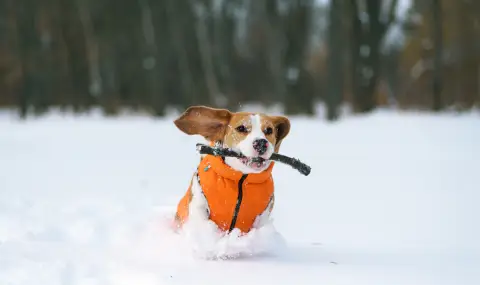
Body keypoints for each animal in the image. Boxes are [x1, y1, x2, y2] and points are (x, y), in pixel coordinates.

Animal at [173, 105, 290, 234]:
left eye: (269, 130)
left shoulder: (263, 215)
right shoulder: (198, 200)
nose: (261, 143)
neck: (241, 179)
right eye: (241, 128)